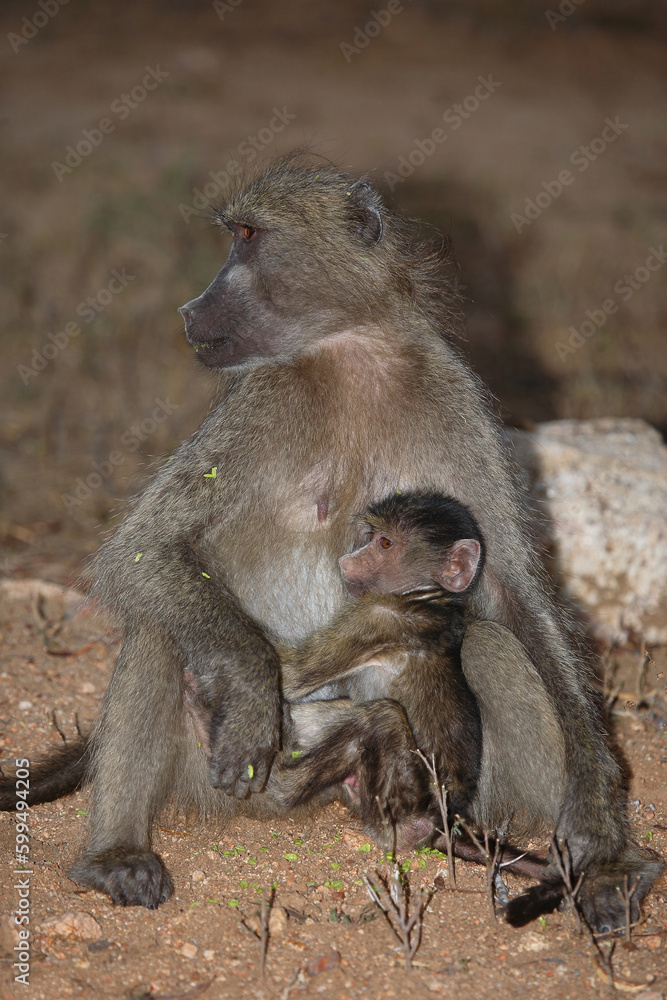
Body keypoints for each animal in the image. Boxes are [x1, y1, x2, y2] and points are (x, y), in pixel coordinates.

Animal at [0, 153, 661, 926]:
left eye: (248, 237)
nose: (189, 310)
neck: (354, 354)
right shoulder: (257, 401)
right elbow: (145, 549)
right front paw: (251, 691)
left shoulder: (454, 397)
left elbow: (514, 595)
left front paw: (599, 821)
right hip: (211, 771)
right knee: (163, 630)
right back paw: (116, 855)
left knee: (491, 643)